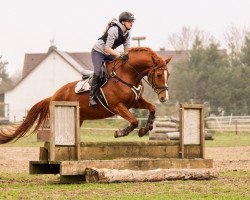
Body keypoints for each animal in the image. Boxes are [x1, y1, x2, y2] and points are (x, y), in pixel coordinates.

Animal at [0, 47, 172, 144]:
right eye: (158, 75)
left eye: (168, 74)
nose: (164, 98)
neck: (127, 75)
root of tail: (53, 95)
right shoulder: (117, 106)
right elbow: (134, 120)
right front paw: (120, 132)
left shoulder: (135, 102)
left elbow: (152, 108)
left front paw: (146, 129)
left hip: (79, 118)